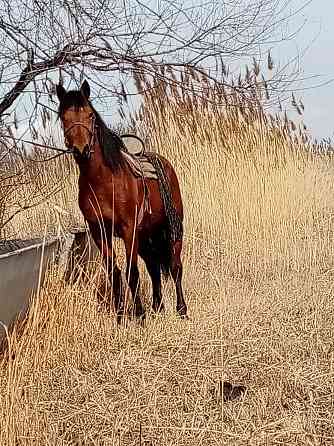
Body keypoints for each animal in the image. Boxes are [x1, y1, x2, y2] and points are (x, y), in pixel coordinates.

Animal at [57, 81, 188, 320]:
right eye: (63, 117)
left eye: (90, 115)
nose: (81, 150)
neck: (104, 181)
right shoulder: (99, 232)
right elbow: (114, 272)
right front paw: (120, 316)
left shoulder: (129, 230)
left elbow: (132, 272)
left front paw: (139, 315)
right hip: (145, 236)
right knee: (154, 269)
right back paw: (157, 307)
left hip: (172, 230)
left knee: (175, 267)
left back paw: (181, 310)